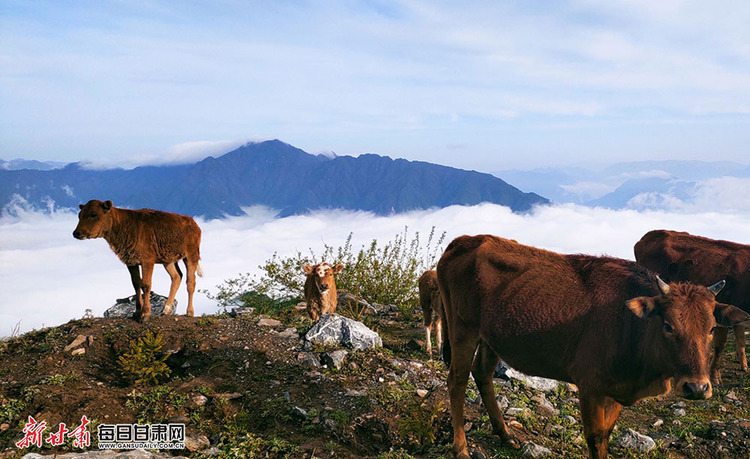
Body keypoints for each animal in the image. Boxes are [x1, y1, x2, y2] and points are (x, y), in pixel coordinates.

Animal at [74, 199, 204, 322]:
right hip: (168, 260)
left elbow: (146, 284)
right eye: (79, 215)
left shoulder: (147, 259)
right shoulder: (131, 261)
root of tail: (193, 222)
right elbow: (136, 284)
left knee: (190, 282)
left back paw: (189, 312)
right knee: (177, 276)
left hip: (191, 255)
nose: (76, 233)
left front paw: (145, 314)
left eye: (93, 214)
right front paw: (137, 312)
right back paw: (166, 309)